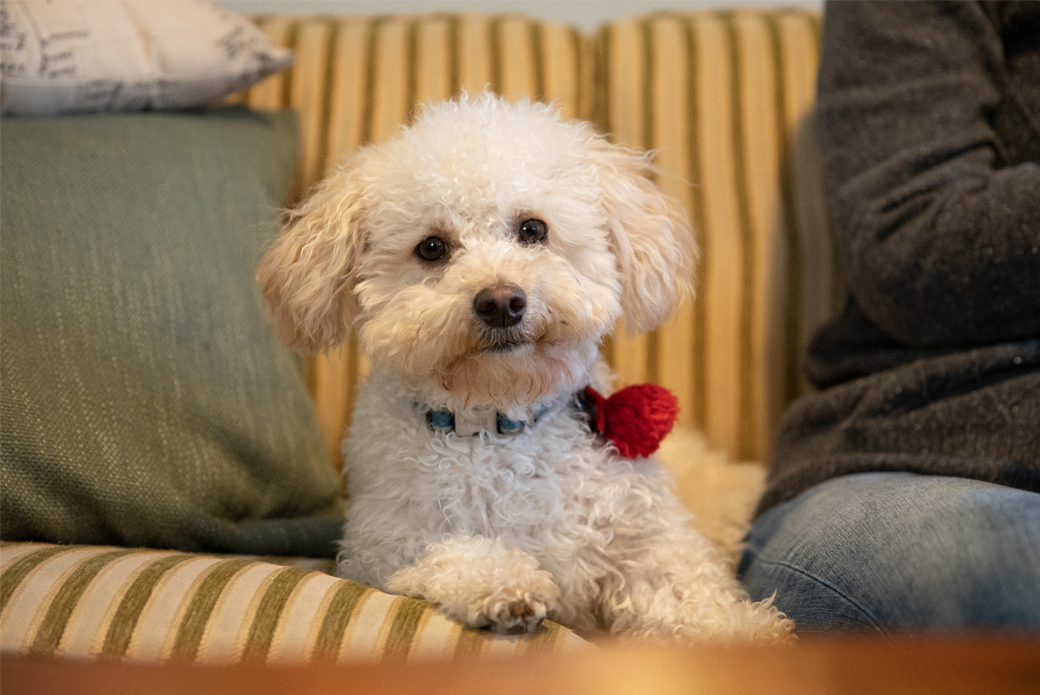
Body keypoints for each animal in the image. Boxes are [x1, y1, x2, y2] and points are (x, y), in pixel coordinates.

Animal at [255, 95, 790, 645]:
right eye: (432, 247)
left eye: (533, 229)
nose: (501, 301)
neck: (502, 422)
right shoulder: (382, 551)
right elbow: (451, 554)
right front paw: (505, 585)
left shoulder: (648, 538)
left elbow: (690, 588)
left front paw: (741, 629)